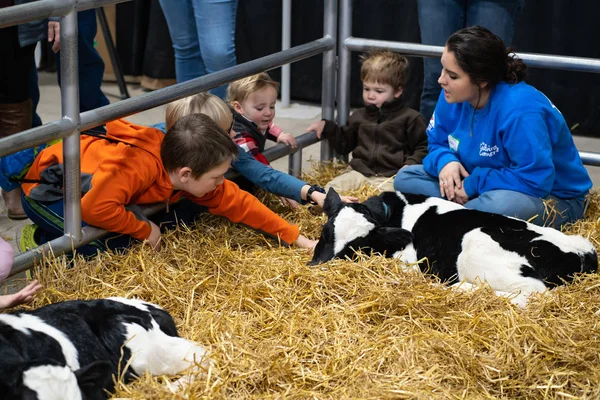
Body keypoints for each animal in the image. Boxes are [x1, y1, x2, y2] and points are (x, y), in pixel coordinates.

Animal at [312, 190, 596, 306]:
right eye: (324, 233)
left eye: (357, 249)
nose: (316, 269)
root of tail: (584, 254)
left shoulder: (412, 265)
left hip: (477, 244)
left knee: (531, 294)